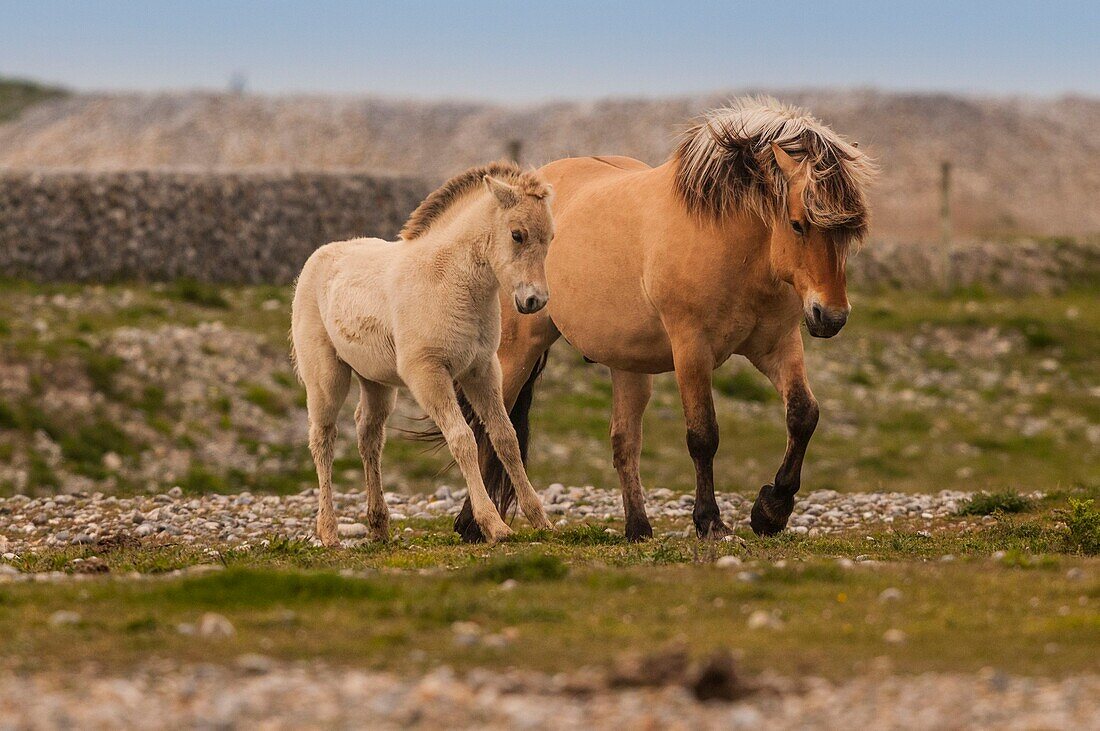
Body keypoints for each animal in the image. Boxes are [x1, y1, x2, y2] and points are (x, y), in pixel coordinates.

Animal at [451, 96, 871, 540]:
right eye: (797, 224)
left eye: (850, 231)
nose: (831, 317)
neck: (733, 243)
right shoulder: (692, 349)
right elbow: (703, 435)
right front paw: (710, 520)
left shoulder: (779, 344)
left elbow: (803, 415)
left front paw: (771, 510)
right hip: (518, 349)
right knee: (492, 427)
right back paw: (472, 523)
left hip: (627, 364)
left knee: (624, 442)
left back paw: (638, 527)